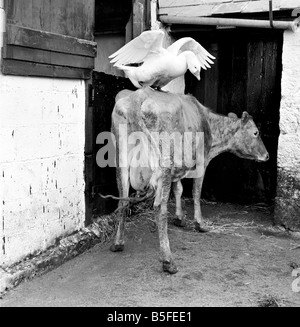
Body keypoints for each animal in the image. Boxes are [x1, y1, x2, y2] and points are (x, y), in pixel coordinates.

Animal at [109, 87, 268, 274]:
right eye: (256, 132)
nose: (267, 155)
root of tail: (138, 96)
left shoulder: (178, 167)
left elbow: (179, 189)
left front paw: (179, 217)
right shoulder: (201, 161)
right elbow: (196, 193)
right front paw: (200, 223)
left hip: (121, 160)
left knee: (122, 201)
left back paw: (118, 243)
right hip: (164, 163)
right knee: (159, 208)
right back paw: (168, 261)